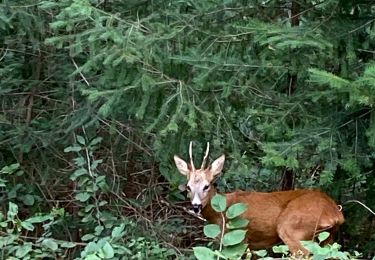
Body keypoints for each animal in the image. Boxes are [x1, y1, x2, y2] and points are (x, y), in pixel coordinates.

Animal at [175, 141, 346, 255]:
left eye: (207, 185)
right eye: (188, 187)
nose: (196, 206)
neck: (222, 212)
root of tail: (335, 214)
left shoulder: (240, 241)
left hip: (292, 229)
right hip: (328, 239)